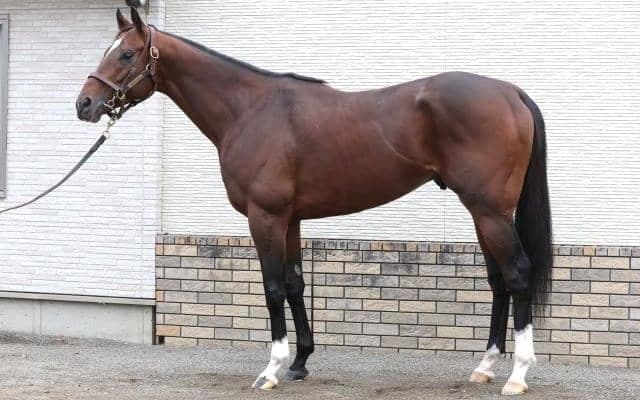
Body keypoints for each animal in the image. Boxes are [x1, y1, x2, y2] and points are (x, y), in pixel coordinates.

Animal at [76, 8, 552, 396]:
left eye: (126, 54)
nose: (85, 104)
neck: (250, 110)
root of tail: (511, 92)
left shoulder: (264, 217)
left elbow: (271, 287)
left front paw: (271, 370)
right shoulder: (290, 219)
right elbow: (294, 284)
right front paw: (300, 363)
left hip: (489, 211)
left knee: (517, 273)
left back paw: (517, 375)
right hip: (485, 212)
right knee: (498, 280)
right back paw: (484, 367)